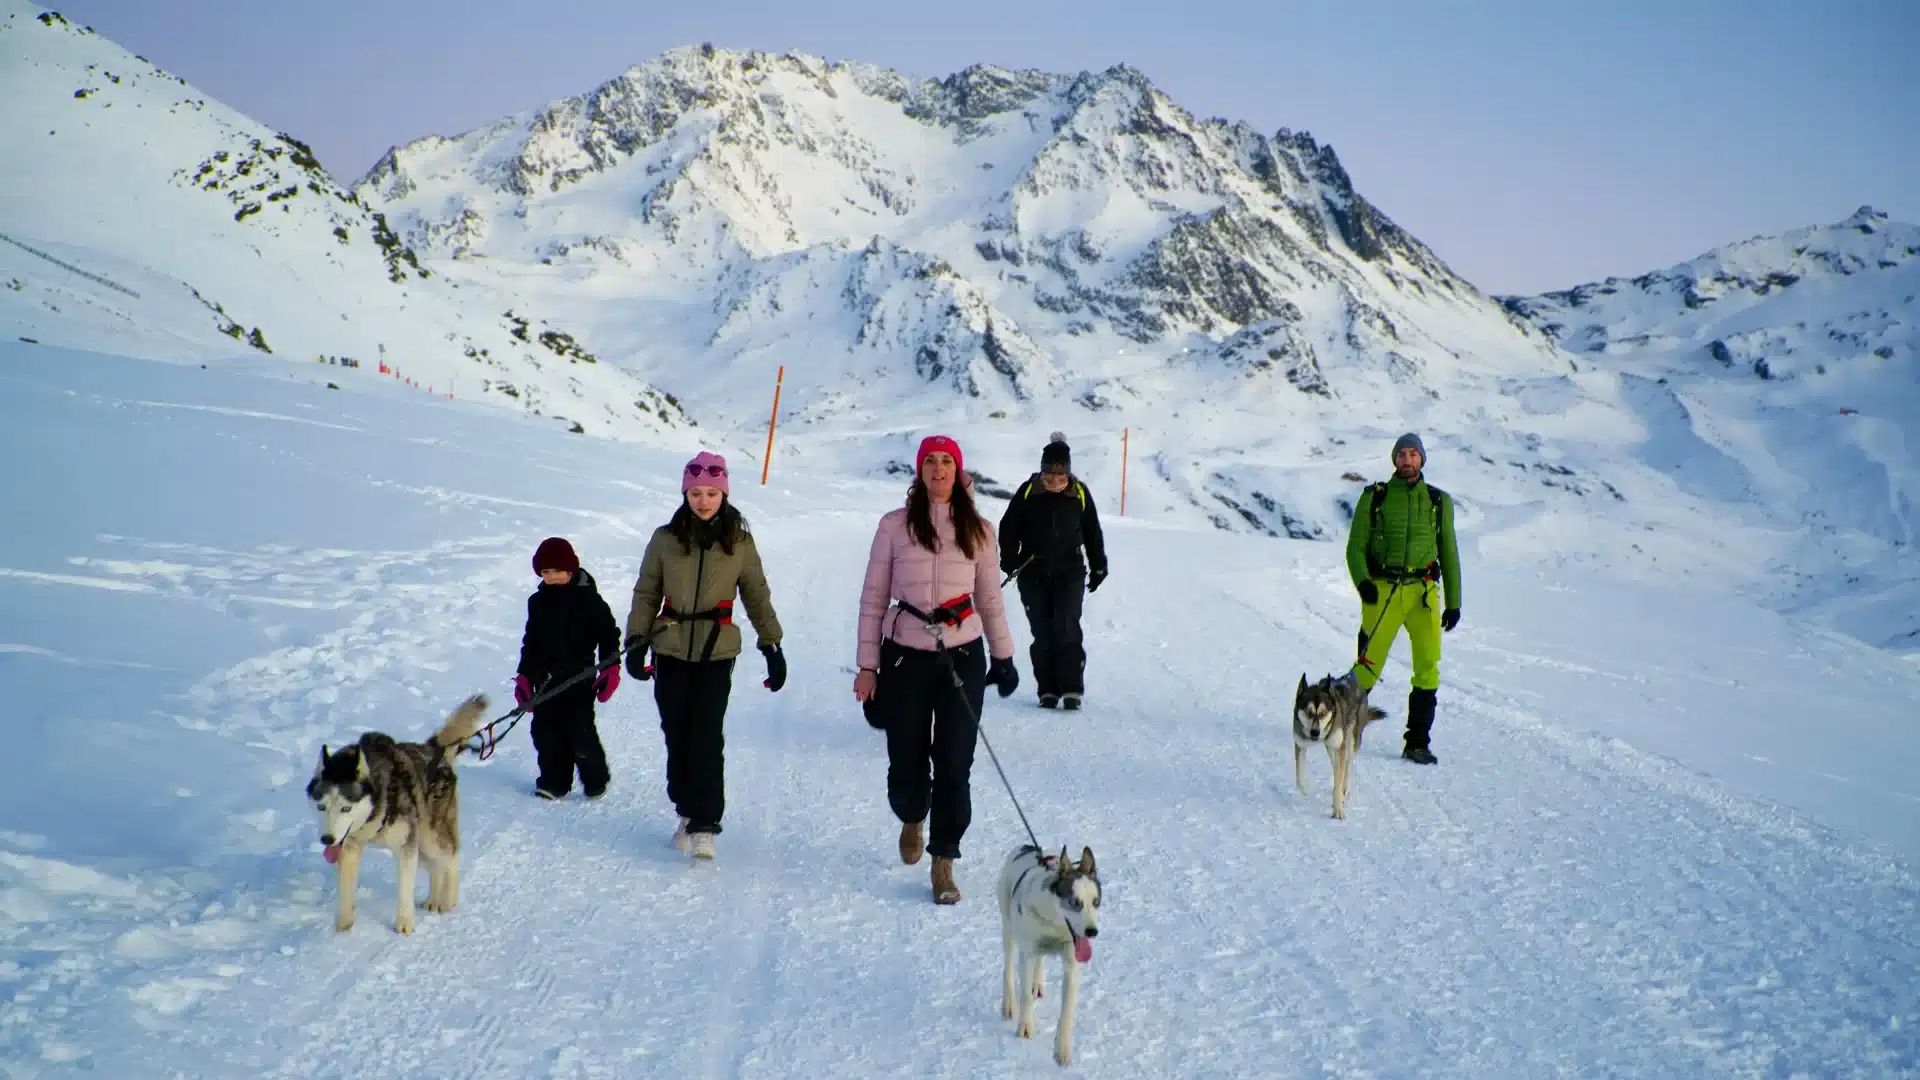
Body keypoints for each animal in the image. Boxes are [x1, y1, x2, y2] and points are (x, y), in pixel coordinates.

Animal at [305, 691, 487, 930]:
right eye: (321, 807)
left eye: (346, 807)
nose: (327, 839)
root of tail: (434, 750)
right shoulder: (349, 847)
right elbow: (346, 893)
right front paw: (344, 927)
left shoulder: (405, 848)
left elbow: (404, 890)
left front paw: (404, 925)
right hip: (422, 847)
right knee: (436, 867)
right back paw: (433, 899)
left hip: (431, 838)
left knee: (451, 858)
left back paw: (448, 898)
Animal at [998, 841, 1105, 1060]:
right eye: (1074, 902)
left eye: (1096, 902)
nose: (1092, 932)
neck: (1054, 923)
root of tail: (1026, 846)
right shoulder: (1027, 953)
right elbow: (1025, 995)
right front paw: (1025, 1026)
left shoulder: (1072, 962)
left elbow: (1067, 1010)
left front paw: (1061, 1048)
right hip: (1008, 927)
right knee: (1009, 965)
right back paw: (1009, 1003)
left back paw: (1037, 984)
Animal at [1297, 672, 1390, 814]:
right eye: (1309, 713)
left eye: (1323, 714)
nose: (1315, 732)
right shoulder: (1300, 744)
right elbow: (1299, 778)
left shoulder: (1340, 747)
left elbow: (1340, 778)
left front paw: (1338, 809)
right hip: (1332, 748)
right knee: (1337, 766)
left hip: (1351, 742)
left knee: (1347, 766)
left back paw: (1343, 789)